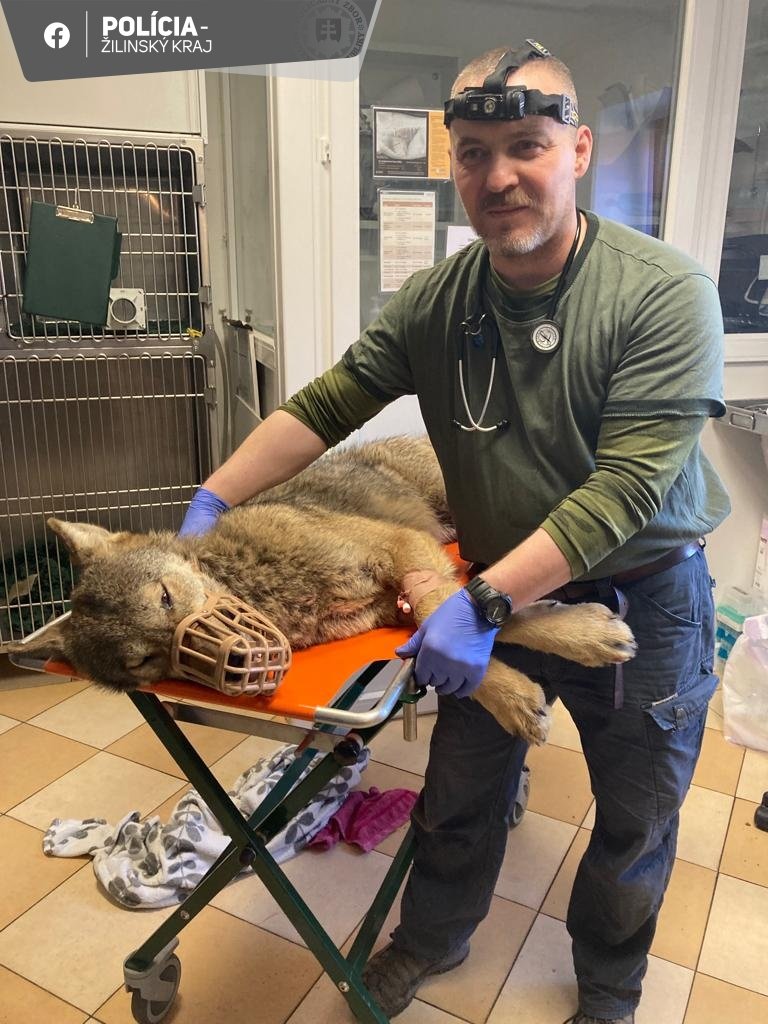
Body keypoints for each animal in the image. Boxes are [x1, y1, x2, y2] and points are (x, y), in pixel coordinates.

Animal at [8, 436, 635, 743]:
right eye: (142, 662)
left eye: (165, 597)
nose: (241, 661)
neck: (258, 583)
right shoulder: (398, 605)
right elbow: (479, 624)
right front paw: (579, 639)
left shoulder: (403, 550)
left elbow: (448, 614)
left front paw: (528, 681)